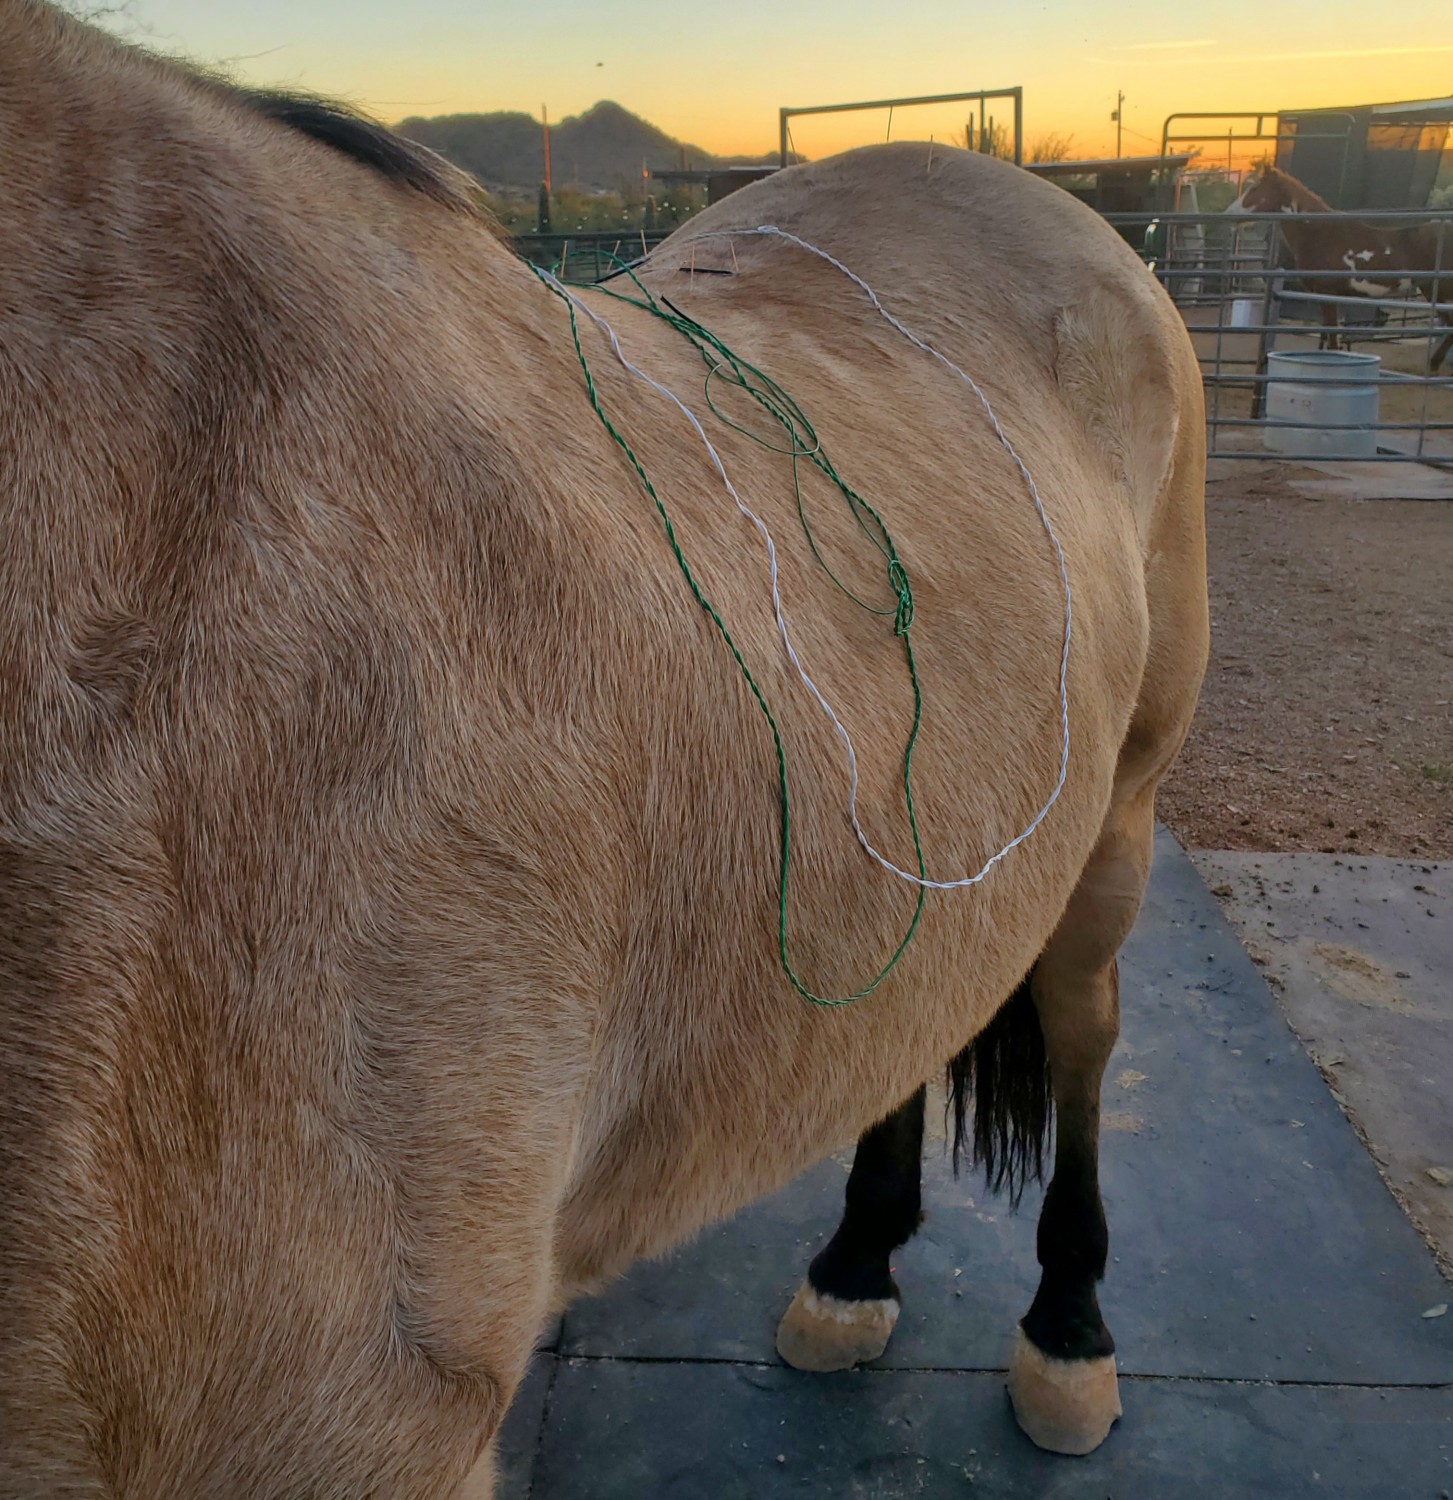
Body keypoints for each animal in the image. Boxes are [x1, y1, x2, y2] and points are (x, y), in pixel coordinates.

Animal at [1231, 163, 1453, 371]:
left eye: (1255, 188)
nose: (1230, 213)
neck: (1320, 233)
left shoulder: (1326, 294)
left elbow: (1332, 342)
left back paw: (1434, 365)